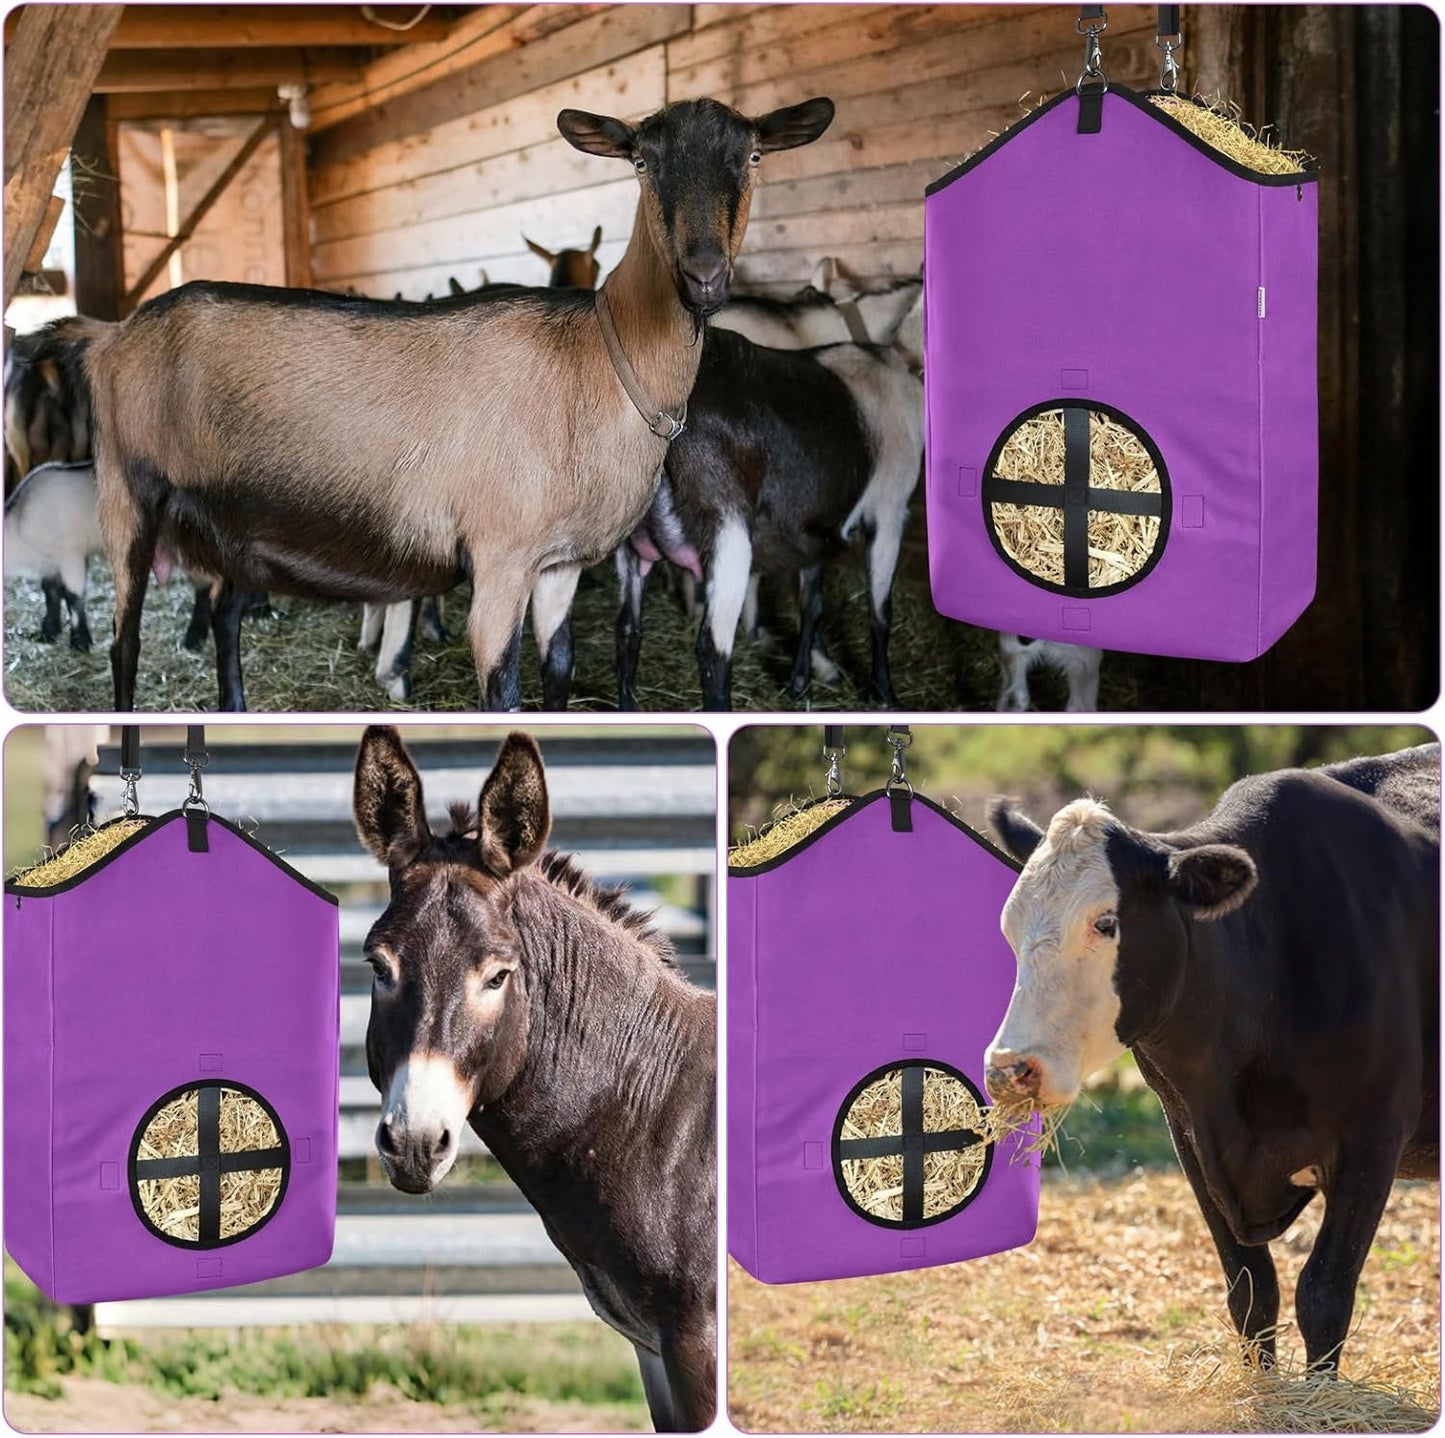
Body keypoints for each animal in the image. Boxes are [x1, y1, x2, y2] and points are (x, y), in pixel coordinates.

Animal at [34, 97, 832, 712]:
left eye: (752, 157)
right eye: (640, 161)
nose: (703, 275)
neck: (598, 362)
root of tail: (109, 336)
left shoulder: (561, 563)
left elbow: (561, 670)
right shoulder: (501, 558)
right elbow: (502, 690)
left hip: (242, 523)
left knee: (228, 614)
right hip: (127, 490)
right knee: (126, 639)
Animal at [616, 328, 923, 710]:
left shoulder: (812, 528)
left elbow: (812, 605)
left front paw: (800, 683)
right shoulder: (890, 511)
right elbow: (881, 611)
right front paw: (884, 694)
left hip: (629, 543)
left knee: (628, 633)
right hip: (730, 534)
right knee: (713, 649)